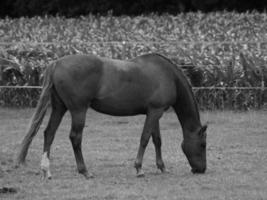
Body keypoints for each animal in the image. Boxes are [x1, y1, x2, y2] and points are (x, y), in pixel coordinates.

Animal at [14, 52, 208, 178]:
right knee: (75, 137)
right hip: (78, 110)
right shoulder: (155, 112)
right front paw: (139, 168)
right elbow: (145, 139)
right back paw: (85, 171)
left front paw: (162, 167)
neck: (167, 75)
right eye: (203, 144)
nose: (201, 170)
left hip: (59, 108)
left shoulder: (155, 113)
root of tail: (56, 63)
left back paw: (46, 171)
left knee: (49, 133)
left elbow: (157, 140)